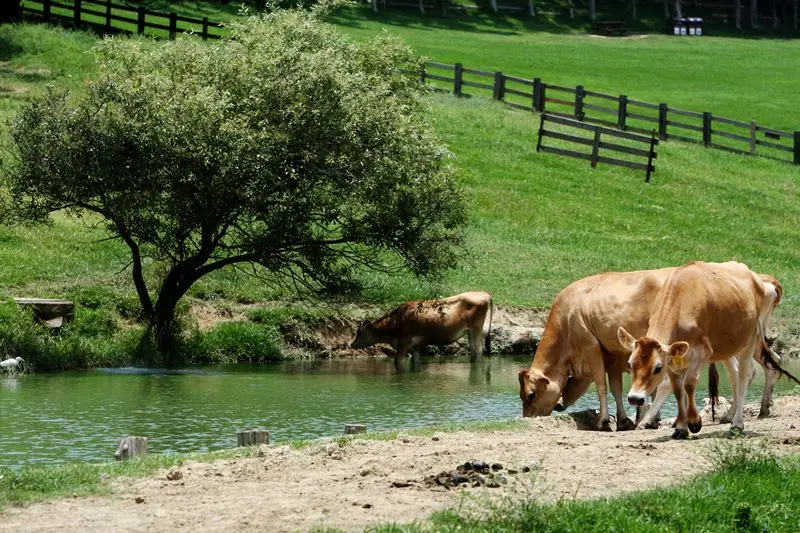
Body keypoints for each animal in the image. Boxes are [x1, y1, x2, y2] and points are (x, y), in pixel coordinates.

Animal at [352, 288, 494, 364]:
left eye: (360, 333)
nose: (351, 344)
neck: (397, 320)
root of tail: (484, 293)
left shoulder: (403, 342)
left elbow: (397, 361)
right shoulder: (415, 346)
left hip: (476, 328)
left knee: (478, 350)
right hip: (469, 331)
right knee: (474, 351)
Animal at [620, 260, 780, 438]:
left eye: (657, 368)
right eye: (629, 364)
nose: (635, 398)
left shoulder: (701, 352)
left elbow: (689, 384)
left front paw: (694, 422)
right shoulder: (674, 360)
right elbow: (678, 389)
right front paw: (681, 428)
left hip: (749, 339)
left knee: (745, 376)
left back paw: (737, 424)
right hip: (728, 346)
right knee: (736, 374)